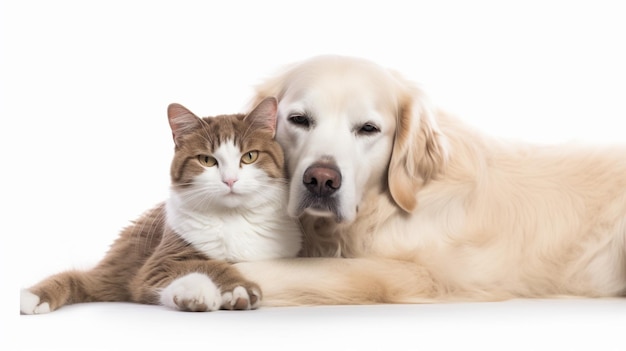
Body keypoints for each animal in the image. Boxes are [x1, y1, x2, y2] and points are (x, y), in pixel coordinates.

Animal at [20, 97, 302, 314]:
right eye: (206, 160)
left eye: (249, 156)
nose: (230, 180)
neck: (232, 217)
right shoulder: (157, 264)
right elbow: (208, 264)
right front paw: (236, 287)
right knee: (82, 279)